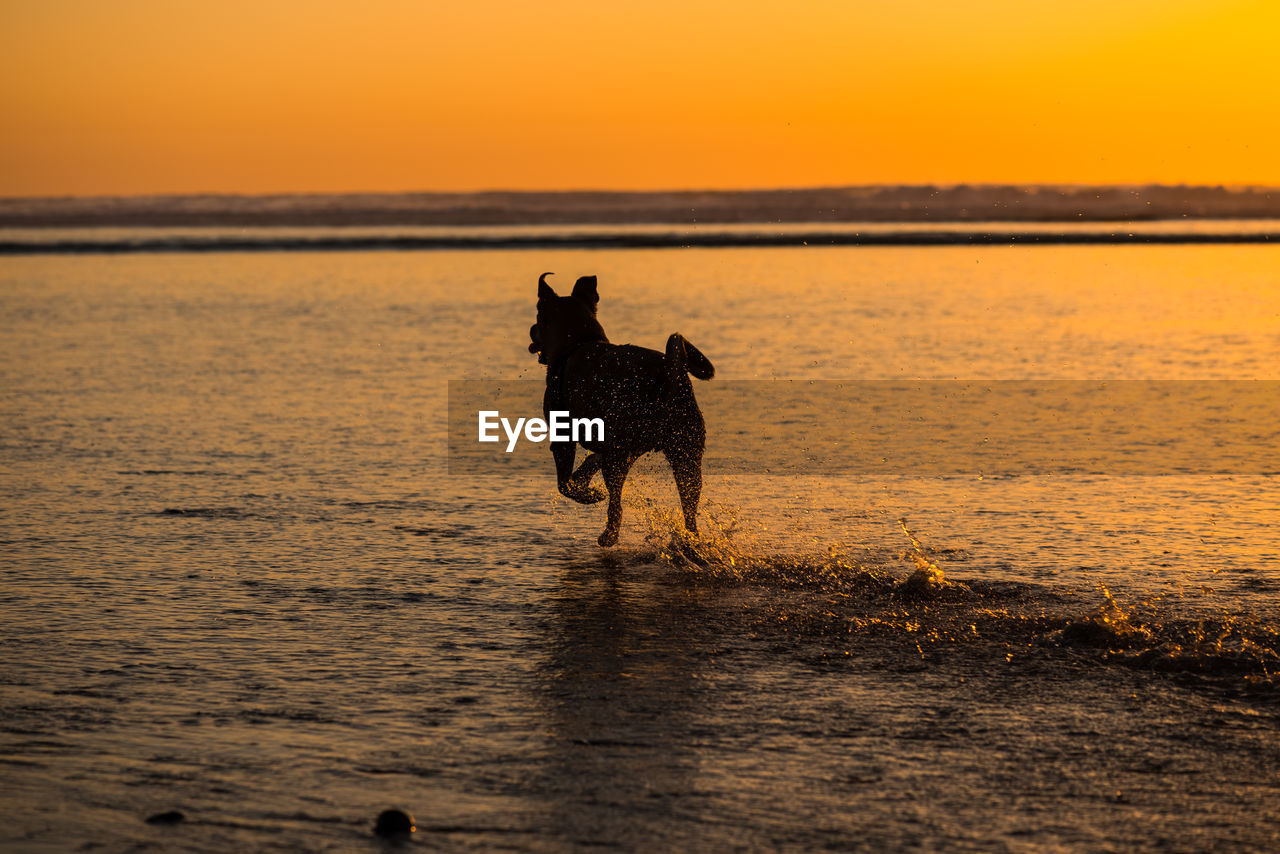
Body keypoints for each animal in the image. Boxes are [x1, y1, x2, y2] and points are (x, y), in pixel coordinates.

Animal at [524, 273, 716, 547]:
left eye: (539, 316)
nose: (531, 329)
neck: (579, 343)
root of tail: (669, 371)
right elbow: (591, 460)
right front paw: (583, 478)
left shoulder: (565, 439)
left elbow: (564, 484)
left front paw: (588, 493)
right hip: (685, 449)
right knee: (689, 504)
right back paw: (689, 540)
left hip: (623, 451)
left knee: (616, 502)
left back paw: (609, 534)